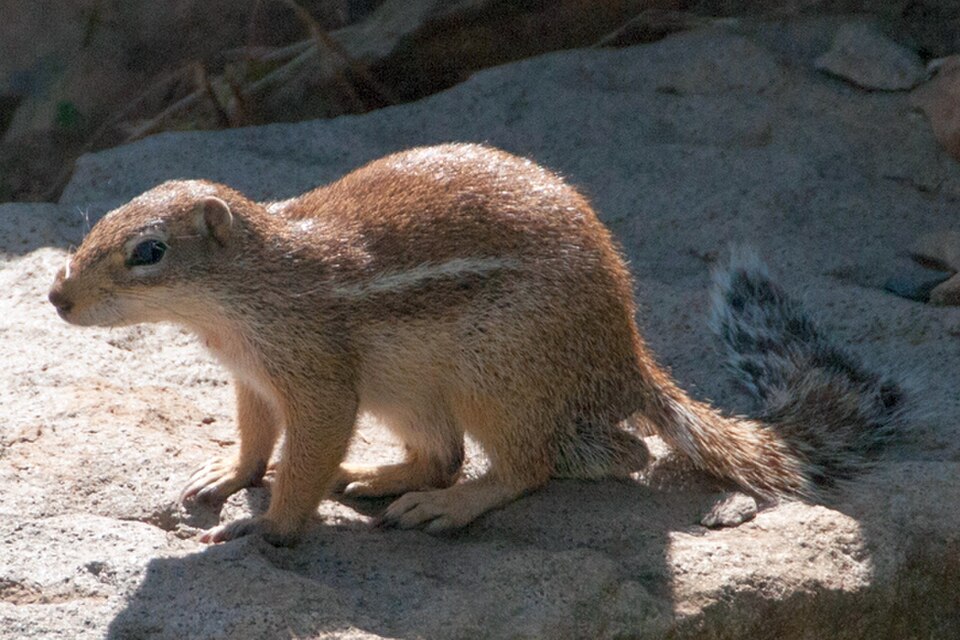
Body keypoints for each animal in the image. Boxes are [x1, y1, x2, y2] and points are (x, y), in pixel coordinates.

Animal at [48, 143, 907, 546]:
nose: (56, 297)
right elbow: (257, 439)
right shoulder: (252, 380)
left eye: (149, 252)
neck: (236, 303)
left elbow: (306, 452)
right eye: (98, 221)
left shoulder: (317, 377)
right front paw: (225, 476)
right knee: (456, 453)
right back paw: (378, 477)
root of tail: (627, 356)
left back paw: (444, 508)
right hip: (414, 392)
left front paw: (266, 525)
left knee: (536, 465)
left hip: (495, 377)